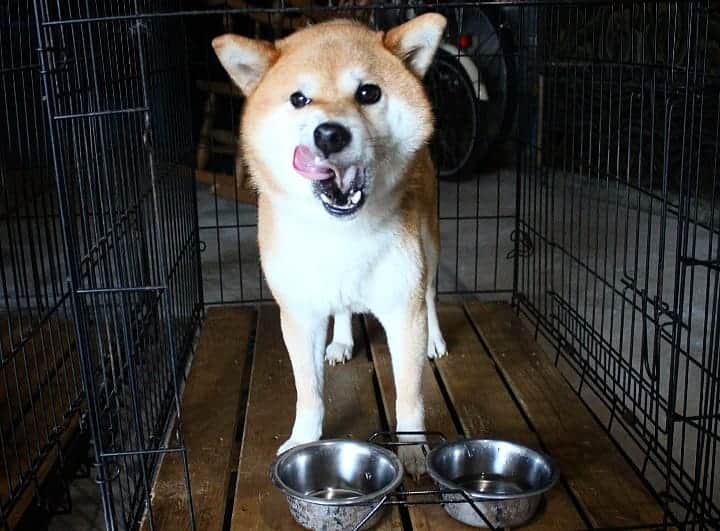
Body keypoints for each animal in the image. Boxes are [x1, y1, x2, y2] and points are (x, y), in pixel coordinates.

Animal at [212, 14, 450, 476]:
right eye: (299, 99)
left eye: (368, 92)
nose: (329, 134)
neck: (341, 234)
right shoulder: (299, 314)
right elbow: (308, 392)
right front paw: (304, 439)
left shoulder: (403, 309)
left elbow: (409, 395)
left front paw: (413, 447)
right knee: (342, 306)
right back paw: (340, 340)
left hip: (429, 245)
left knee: (431, 293)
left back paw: (435, 339)